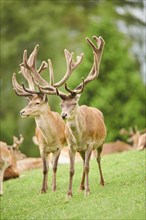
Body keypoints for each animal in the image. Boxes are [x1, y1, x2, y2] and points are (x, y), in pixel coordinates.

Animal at [11, 43, 83, 192]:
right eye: (29, 102)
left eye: (37, 103)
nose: (22, 112)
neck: (50, 139)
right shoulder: (41, 148)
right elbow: (44, 169)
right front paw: (42, 189)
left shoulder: (59, 147)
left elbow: (54, 167)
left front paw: (54, 187)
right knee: (47, 166)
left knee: (52, 165)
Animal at [33, 35, 106, 197]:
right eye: (61, 104)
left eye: (74, 103)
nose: (63, 115)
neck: (80, 137)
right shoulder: (72, 146)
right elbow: (72, 170)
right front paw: (69, 193)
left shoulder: (90, 143)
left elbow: (87, 167)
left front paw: (88, 191)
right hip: (81, 150)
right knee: (86, 162)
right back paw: (81, 186)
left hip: (101, 142)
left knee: (97, 159)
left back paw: (101, 182)